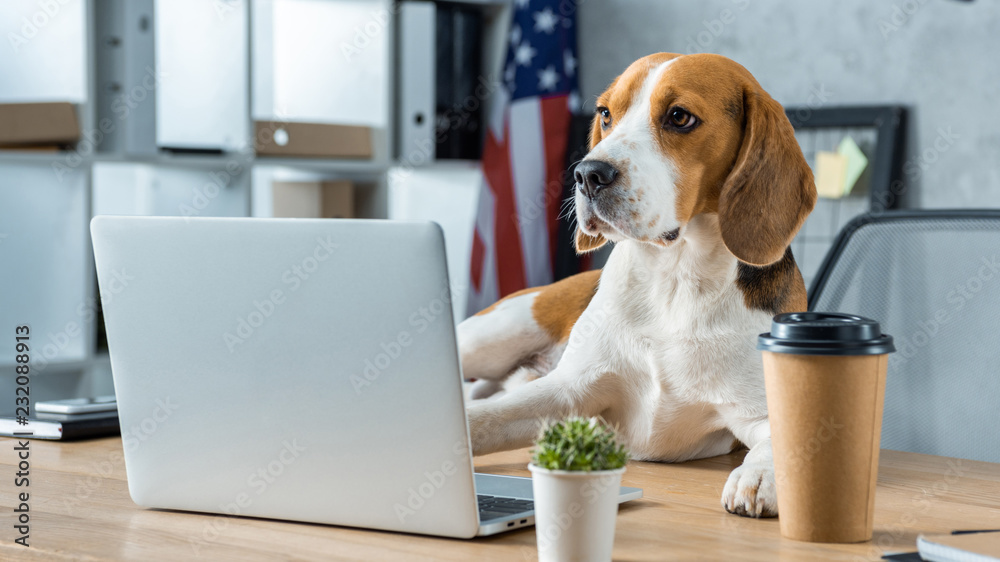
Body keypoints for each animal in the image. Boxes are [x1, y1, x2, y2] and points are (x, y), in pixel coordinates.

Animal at [458, 53, 816, 516]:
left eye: (680, 117)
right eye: (606, 114)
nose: (587, 174)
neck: (675, 280)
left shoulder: (761, 410)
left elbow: (777, 444)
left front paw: (759, 475)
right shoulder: (568, 392)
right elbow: (484, 419)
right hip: (491, 335)